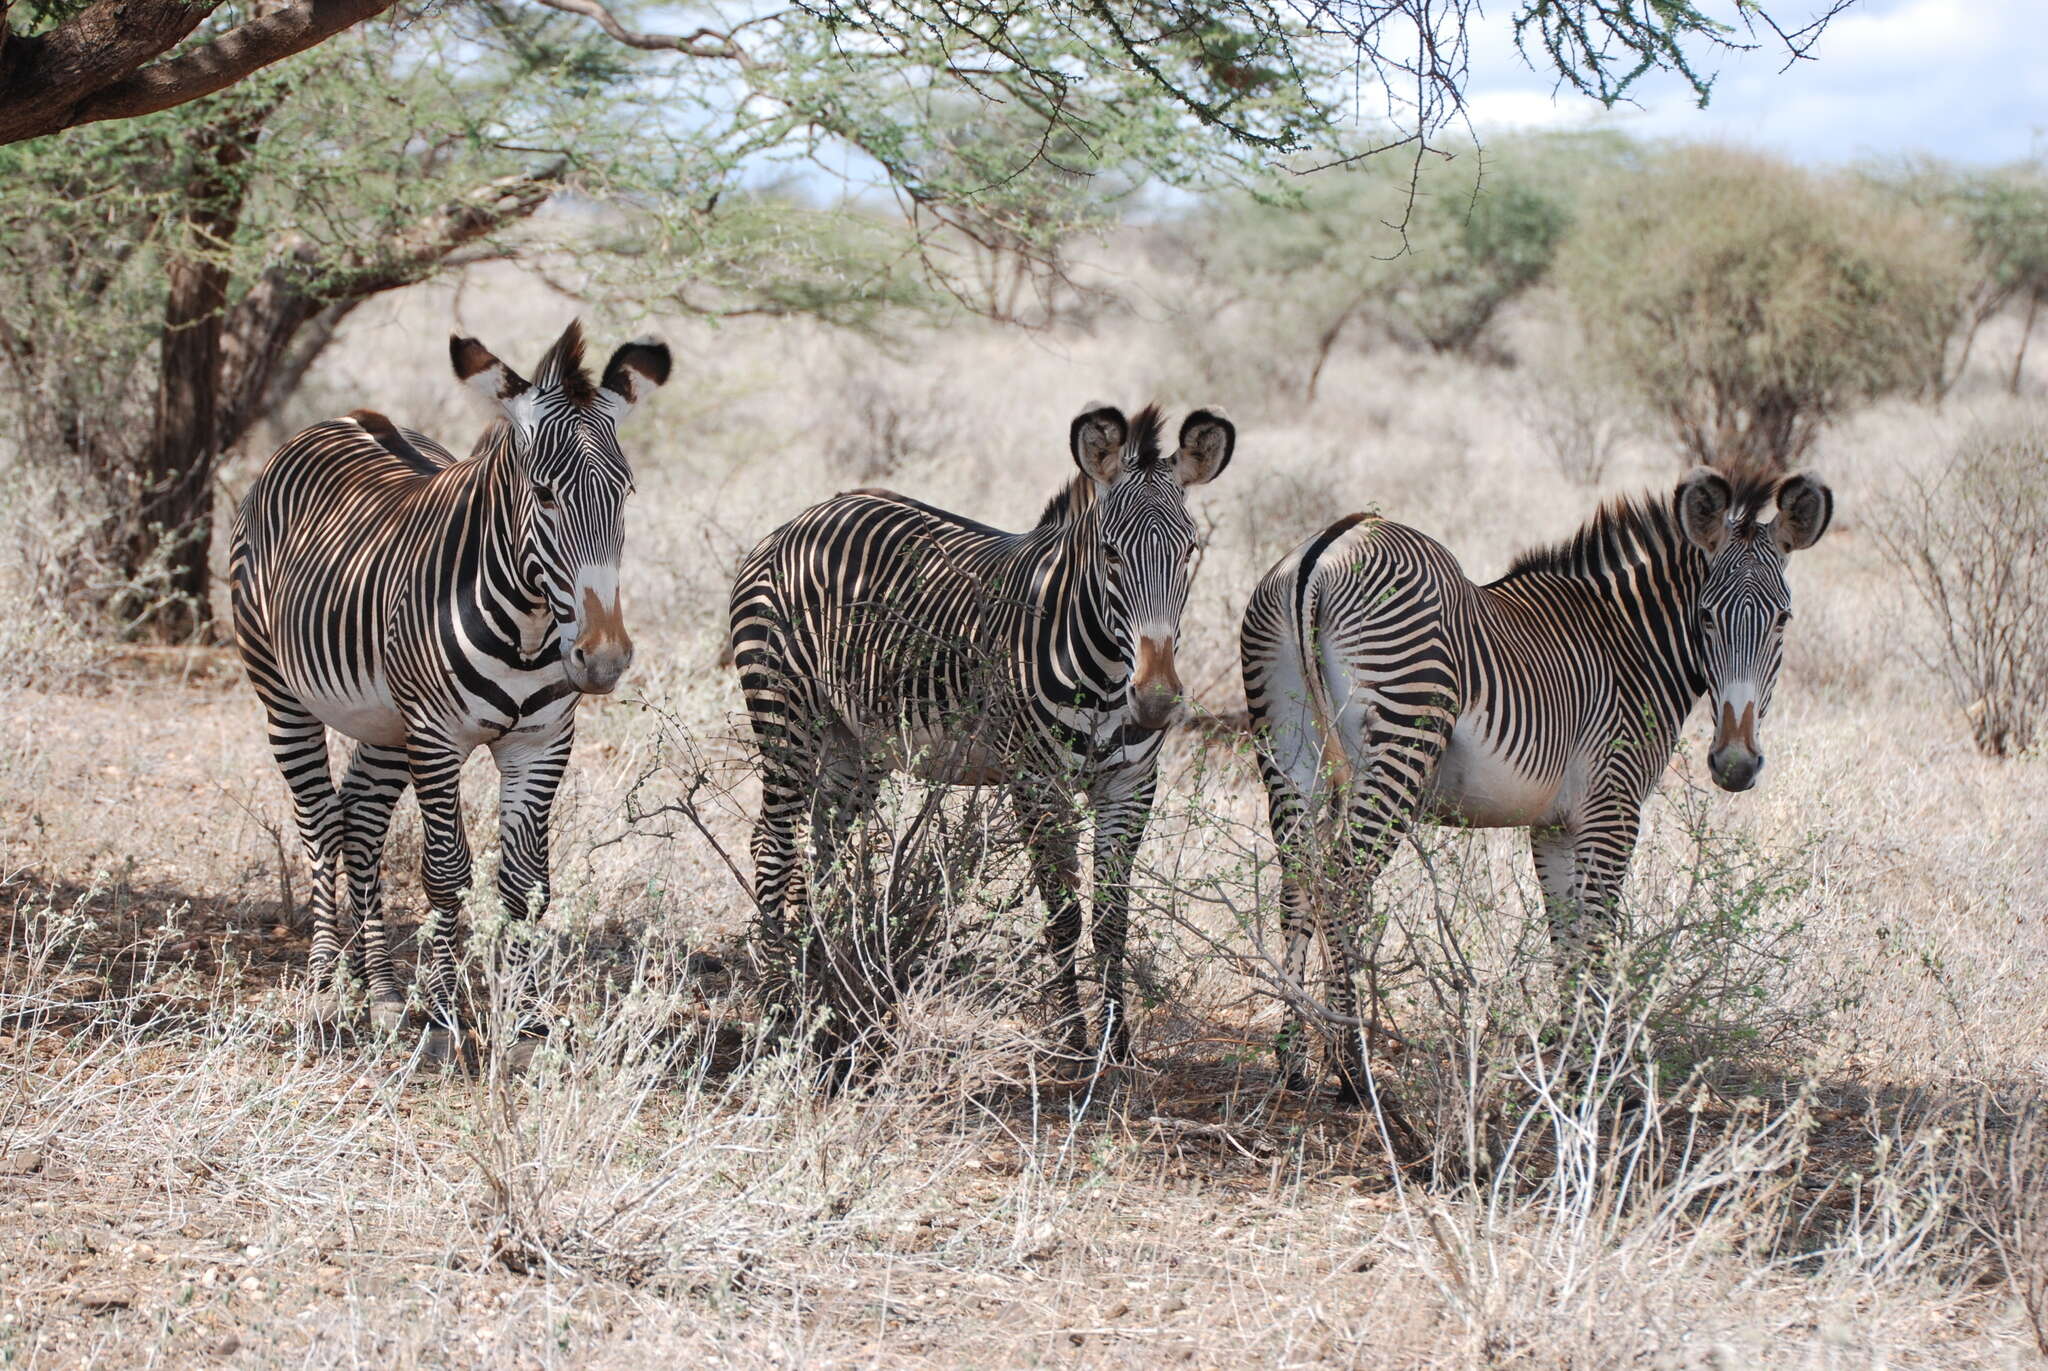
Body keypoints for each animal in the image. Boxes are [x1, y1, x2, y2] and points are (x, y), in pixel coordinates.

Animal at [233, 321, 667, 1057]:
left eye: (626, 493)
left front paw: (525, 1021)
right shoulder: (437, 738)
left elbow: (526, 883)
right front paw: (441, 1017)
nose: (604, 660)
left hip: (385, 720)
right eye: (544, 494)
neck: (528, 627)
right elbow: (446, 874)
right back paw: (326, 985)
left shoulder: (541, 743)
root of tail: (347, 417)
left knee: (360, 819)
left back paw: (379, 991)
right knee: (319, 821)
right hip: (283, 693)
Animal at [733, 397, 1228, 1057]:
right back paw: (779, 1004)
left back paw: (825, 974)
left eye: (1189, 552)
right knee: (773, 843)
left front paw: (1116, 1044)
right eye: (1110, 554)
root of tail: (805, 517)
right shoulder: (1036, 781)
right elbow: (1064, 915)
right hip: (784, 712)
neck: (1103, 674)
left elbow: (1111, 919)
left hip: (852, 741)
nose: (1153, 701)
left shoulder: (1131, 784)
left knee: (823, 843)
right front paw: (1073, 1040)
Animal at [1236, 465, 1835, 1098]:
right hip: (1402, 735)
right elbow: (1597, 933)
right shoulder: (1612, 805)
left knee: (1297, 884)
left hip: (1286, 743)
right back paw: (1353, 1069)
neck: (1630, 644)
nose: (1735, 766)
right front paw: (1601, 1074)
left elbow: (1565, 936)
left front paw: (1570, 1062)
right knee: (1343, 885)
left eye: (1782, 620)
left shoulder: (1553, 826)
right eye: (1706, 616)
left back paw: (1292, 1061)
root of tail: (1326, 552)